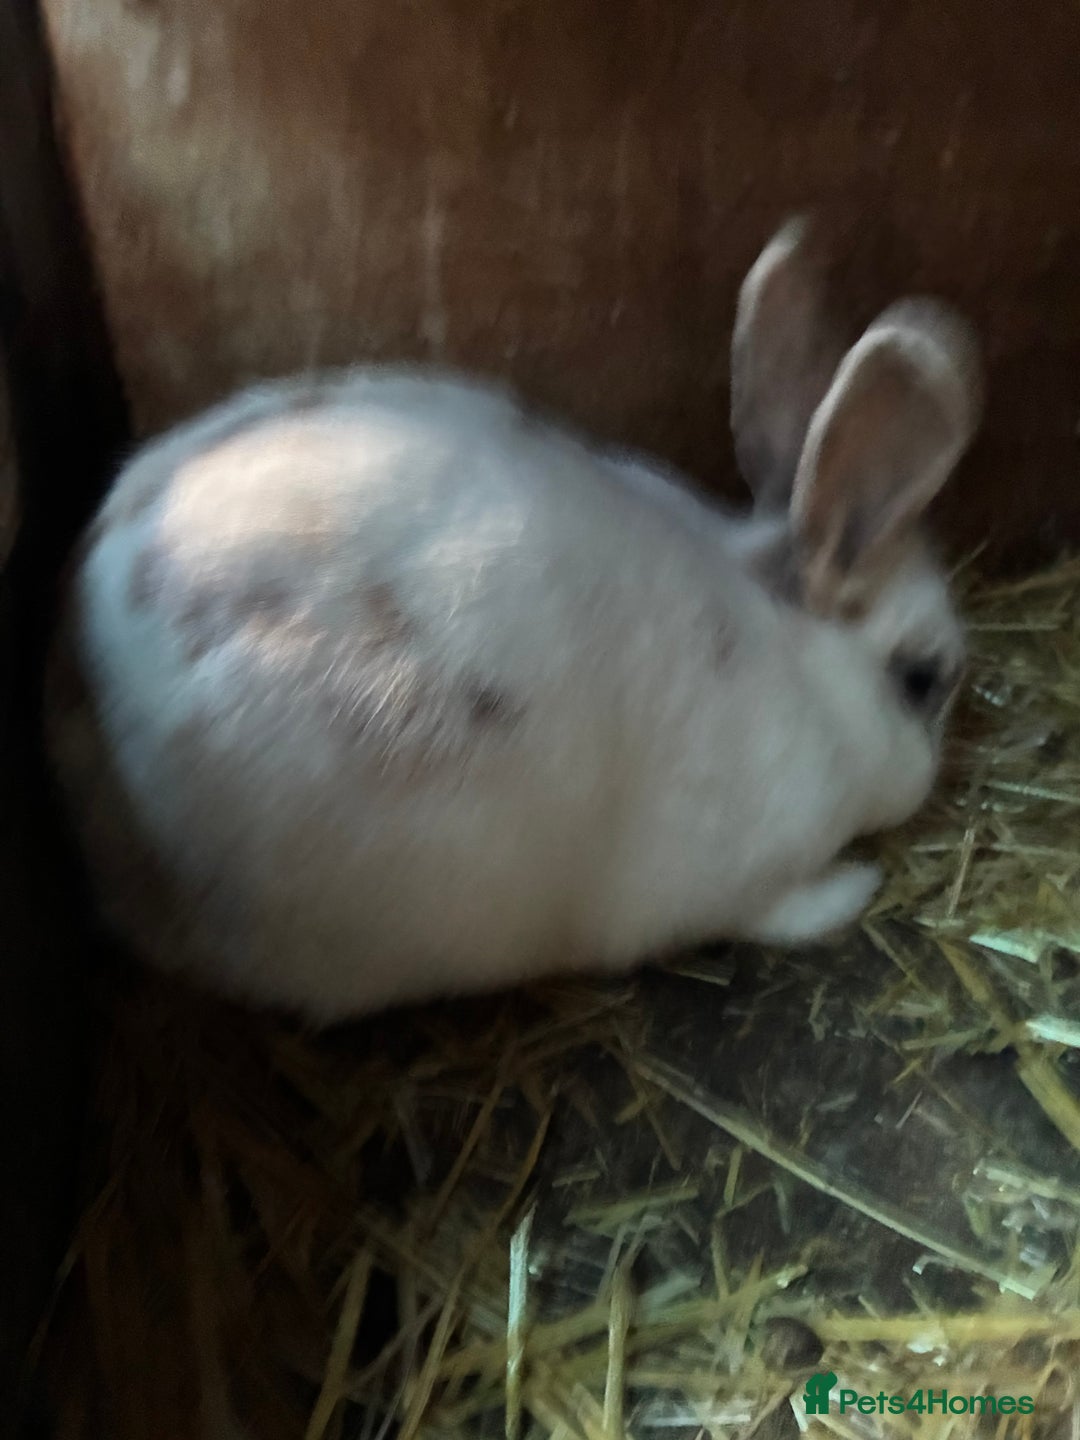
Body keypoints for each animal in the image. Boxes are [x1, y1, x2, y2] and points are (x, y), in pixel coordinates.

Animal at [46, 218, 982, 1023]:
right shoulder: (744, 879)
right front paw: (853, 890)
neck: (800, 669)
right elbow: (781, 910)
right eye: (921, 680)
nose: (935, 770)